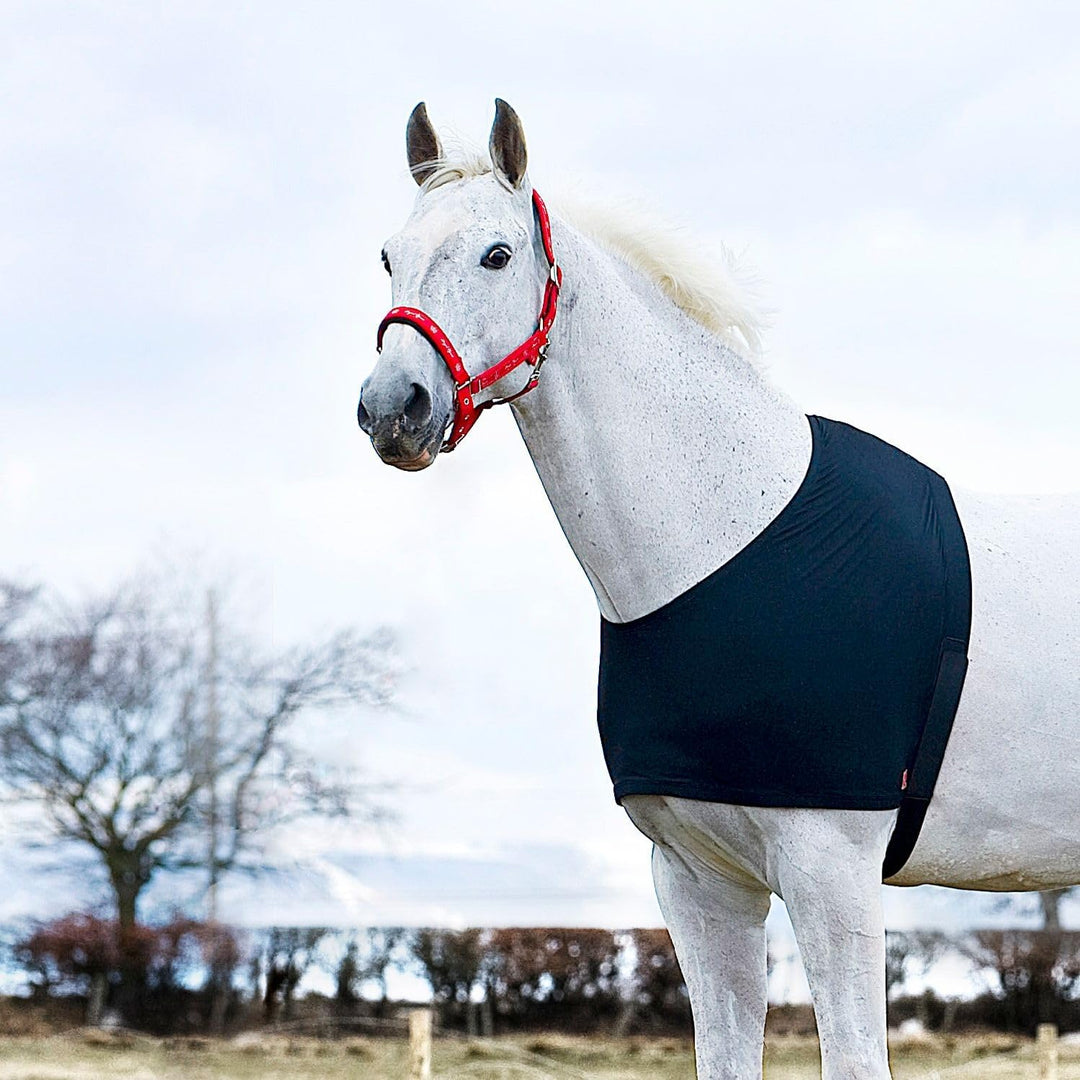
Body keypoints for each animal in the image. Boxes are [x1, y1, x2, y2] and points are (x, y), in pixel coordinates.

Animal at [356, 99, 1080, 1079]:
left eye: (496, 255)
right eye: (389, 255)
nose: (393, 408)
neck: (729, 536)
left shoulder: (832, 875)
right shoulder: (700, 882)